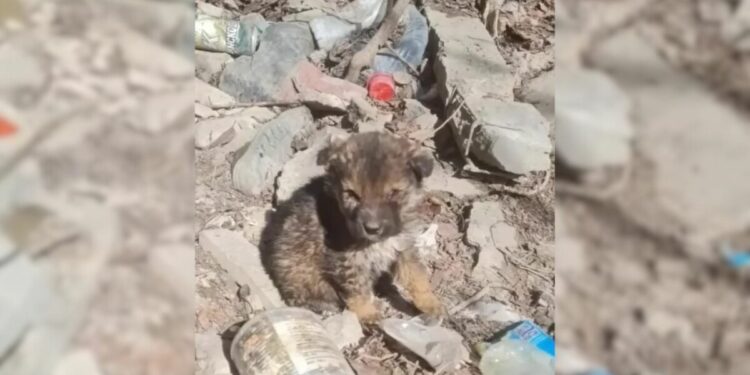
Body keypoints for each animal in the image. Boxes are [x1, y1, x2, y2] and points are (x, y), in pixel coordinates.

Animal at [262, 131, 444, 324]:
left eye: (393, 193)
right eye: (352, 195)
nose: (371, 228)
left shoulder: (404, 246)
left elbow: (417, 276)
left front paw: (430, 302)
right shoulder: (346, 259)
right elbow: (357, 290)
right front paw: (367, 313)